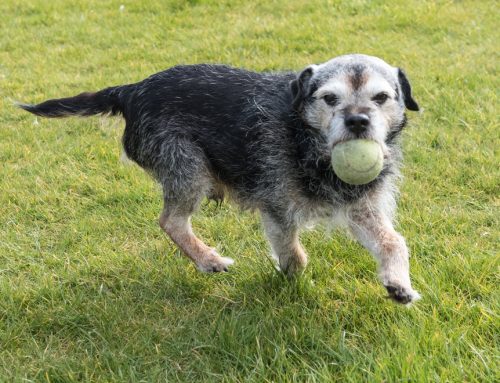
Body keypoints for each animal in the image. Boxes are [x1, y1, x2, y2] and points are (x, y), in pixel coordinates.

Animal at [17, 54, 420, 306]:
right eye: (330, 98)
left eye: (381, 97)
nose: (357, 121)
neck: (311, 146)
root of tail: (131, 89)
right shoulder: (276, 209)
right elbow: (293, 254)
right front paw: (290, 282)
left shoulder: (363, 209)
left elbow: (393, 243)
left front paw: (399, 284)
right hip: (188, 168)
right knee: (170, 220)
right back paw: (208, 259)